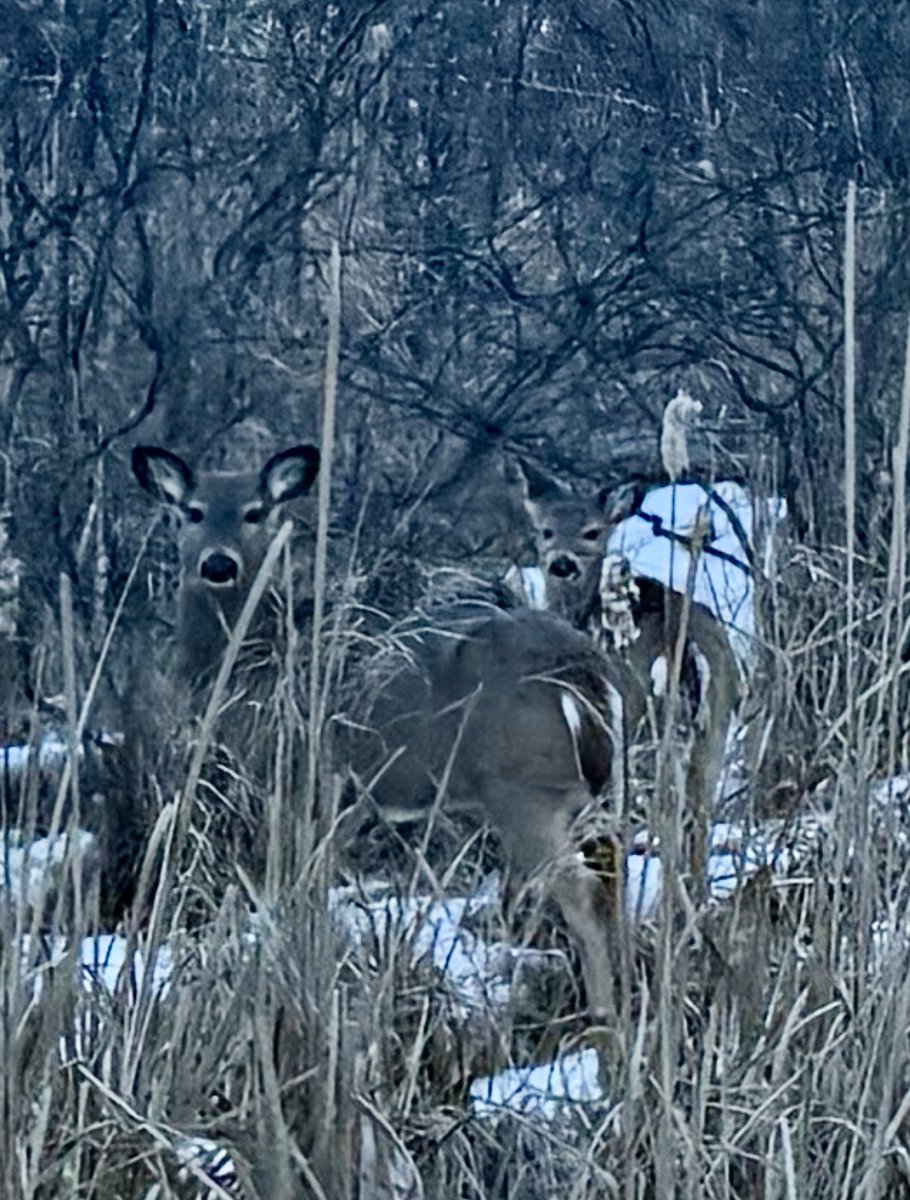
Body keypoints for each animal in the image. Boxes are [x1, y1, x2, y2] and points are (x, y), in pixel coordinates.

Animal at [516, 461, 743, 880]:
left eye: (592, 531)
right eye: (545, 531)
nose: (562, 563)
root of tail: (684, 648)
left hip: (641, 736)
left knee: (666, 820)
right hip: (713, 735)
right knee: (699, 823)